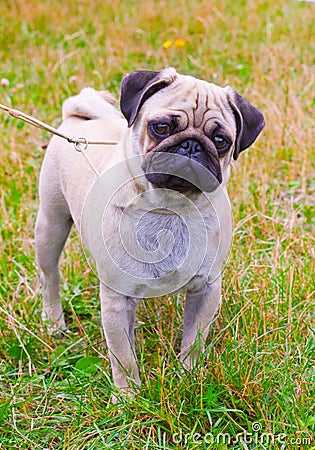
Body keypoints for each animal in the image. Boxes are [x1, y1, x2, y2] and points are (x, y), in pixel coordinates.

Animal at [35, 67, 266, 394]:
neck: (170, 208)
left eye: (220, 140)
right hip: (51, 224)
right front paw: (128, 396)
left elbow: (194, 340)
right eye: (161, 127)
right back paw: (54, 322)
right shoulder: (117, 300)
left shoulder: (206, 290)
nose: (192, 145)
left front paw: (188, 378)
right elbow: (123, 357)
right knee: (50, 276)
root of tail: (78, 118)